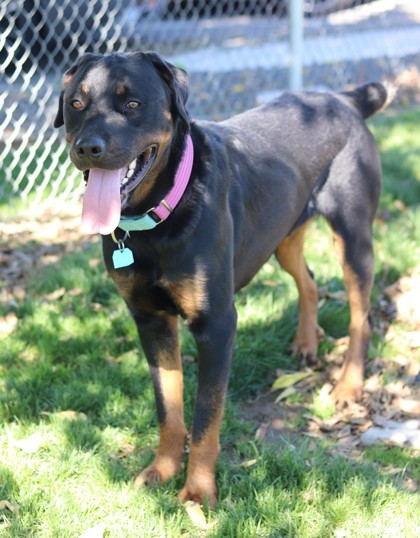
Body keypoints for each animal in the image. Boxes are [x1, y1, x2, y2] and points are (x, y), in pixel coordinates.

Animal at [55, 51, 388, 506]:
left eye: (133, 103)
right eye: (76, 103)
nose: (88, 147)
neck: (158, 219)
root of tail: (345, 99)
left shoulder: (216, 326)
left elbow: (205, 419)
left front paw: (197, 494)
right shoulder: (151, 320)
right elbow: (168, 408)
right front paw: (161, 471)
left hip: (353, 236)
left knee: (361, 316)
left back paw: (348, 385)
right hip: (283, 232)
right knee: (308, 279)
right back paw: (306, 343)